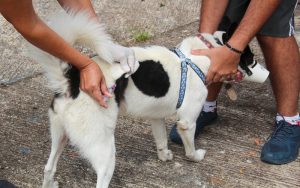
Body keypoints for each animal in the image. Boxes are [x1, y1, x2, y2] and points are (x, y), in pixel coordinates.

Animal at [29, 10, 255, 188]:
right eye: (250, 56)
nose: (255, 66)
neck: (202, 53)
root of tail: (71, 81)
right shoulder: (187, 123)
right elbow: (190, 149)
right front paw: (196, 157)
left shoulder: (156, 117)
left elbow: (161, 140)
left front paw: (164, 156)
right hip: (104, 149)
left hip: (60, 134)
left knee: (49, 168)